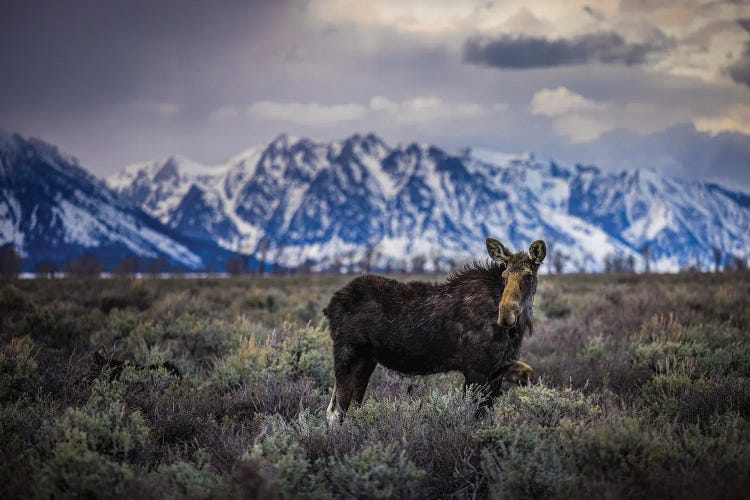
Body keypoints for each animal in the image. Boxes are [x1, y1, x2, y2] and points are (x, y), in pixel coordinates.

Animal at [324, 236, 548, 424]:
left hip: (367, 360)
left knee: (351, 408)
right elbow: (471, 417)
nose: (506, 314)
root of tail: (330, 306)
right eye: (505, 275)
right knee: (335, 412)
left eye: (528, 276)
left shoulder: (497, 372)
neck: (514, 333)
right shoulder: (475, 370)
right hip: (348, 355)